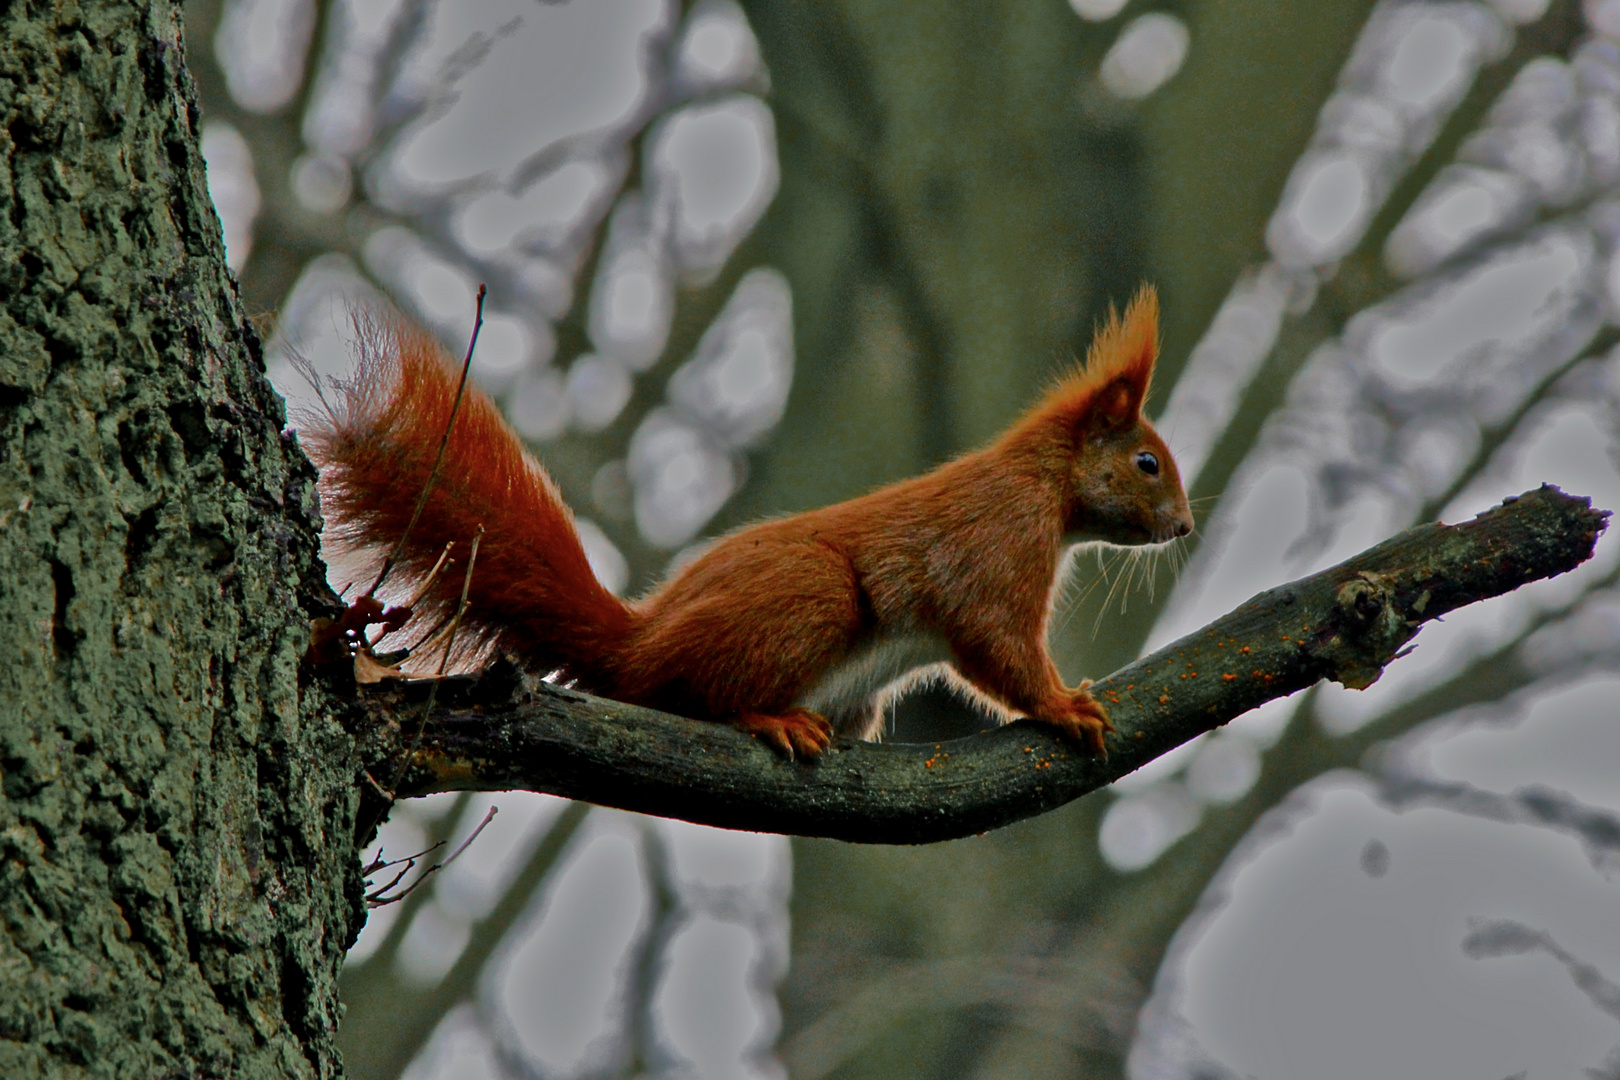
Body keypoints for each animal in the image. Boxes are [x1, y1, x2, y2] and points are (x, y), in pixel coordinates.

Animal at [306, 286, 1192, 761]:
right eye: (1148, 463)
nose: (1184, 526)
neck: (1043, 485)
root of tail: (635, 645)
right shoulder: (997, 540)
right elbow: (993, 642)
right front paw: (1063, 704)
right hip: (810, 597)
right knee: (689, 691)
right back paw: (767, 716)